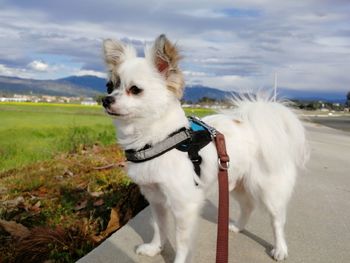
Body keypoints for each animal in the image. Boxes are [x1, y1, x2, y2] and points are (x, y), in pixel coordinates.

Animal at [102, 35, 308, 263]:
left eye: (135, 90)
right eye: (109, 86)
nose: (106, 99)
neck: (157, 139)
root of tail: (252, 124)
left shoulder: (184, 206)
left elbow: (182, 243)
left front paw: (178, 261)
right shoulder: (156, 200)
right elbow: (160, 228)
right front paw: (155, 248)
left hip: (269, 189)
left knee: (277, 220)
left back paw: (280, 248)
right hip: (236, 183)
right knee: (248, 206)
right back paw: (237, 227)